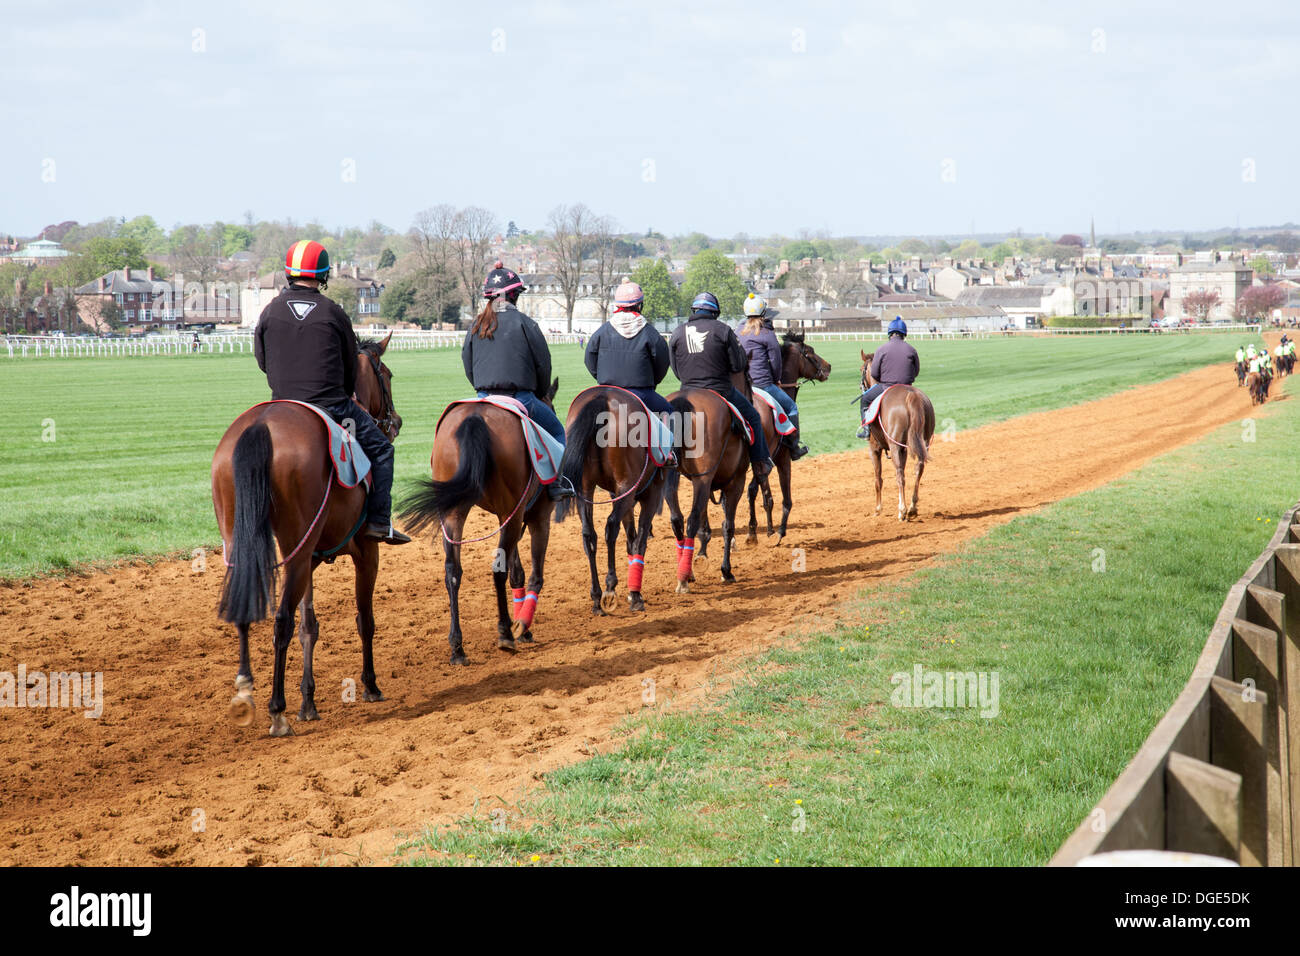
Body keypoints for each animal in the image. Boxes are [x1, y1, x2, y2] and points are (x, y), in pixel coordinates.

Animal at [211, 332, 400, 738]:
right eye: (388, 375)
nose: (395, 421)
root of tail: (262, 425)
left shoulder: (311, 555)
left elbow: (309, 626)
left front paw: (309, 702)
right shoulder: (365, 552)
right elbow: (364, 619)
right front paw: (371, 684)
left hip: (244, 542)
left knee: (245, 609)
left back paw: (246, 690)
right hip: (297, 550)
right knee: (281, 620)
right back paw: (276, 711)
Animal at [395, 377, 559, 660]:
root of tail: (475, 417)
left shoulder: (509, 517)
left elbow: (517, 572)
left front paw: (522, 628)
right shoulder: (537, 518)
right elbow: (534, 575)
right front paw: (522, 626)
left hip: (456, 514)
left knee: (453, 570)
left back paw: (457, 647)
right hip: (512, 514)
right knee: (498, 569)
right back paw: (505, 634)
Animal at [551, 387, 670, 613]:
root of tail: (602, 397)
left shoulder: (620, 496)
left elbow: (631, 539)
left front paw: (632, 591)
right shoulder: (650, 495)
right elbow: (639, 541)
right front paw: (635, 595)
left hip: (586, 489)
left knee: (589, 535)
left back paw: (597, 596)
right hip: (626, 486)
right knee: (611, 527)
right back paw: (610, 587)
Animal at [743, 335, 832, 546]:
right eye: (810, 351)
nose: (829, 366)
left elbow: (759, 494)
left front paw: (762, 531)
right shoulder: (781, 458)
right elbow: (784, 498)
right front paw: (779, 531)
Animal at [857, 348, 930, 520]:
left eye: (862, 369)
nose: (861, 386)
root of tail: (911, 395)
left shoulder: (874, 449)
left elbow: (878, 478)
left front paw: (878, 509)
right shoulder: (904, 449)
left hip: (895, 446)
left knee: (900, 476)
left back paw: (902, 510)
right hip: (923, 443)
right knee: (918, 468)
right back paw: (912, 507)